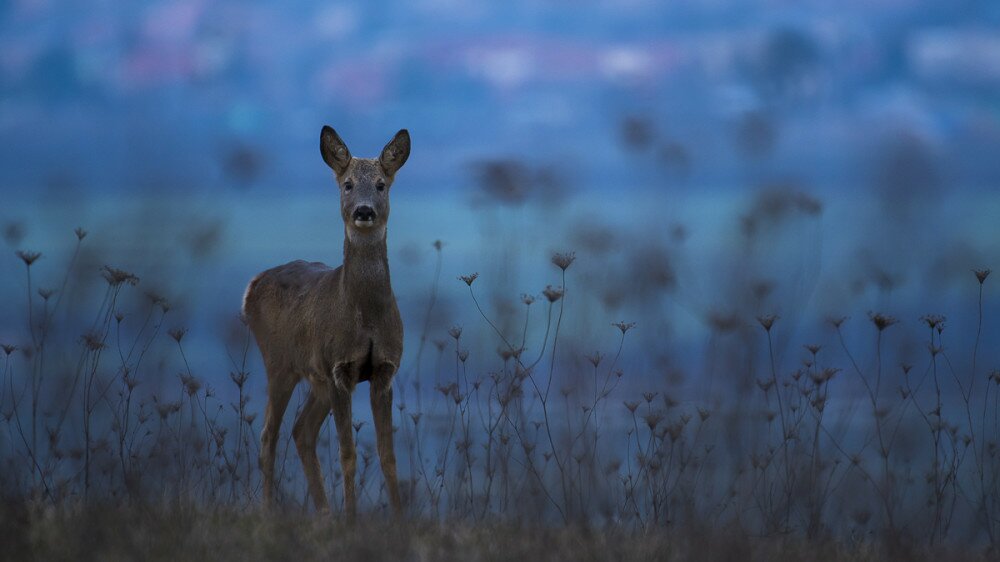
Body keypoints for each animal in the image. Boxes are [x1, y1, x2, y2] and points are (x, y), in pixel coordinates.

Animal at [242, 124, 410, 516]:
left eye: (381, 184)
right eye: (347, 183)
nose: (363, 210)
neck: (366, 318)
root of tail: (252, 286)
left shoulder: (385, 369)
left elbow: (388, 456)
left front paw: (399, 519)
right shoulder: (339, 367)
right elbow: (347, 453)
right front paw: (352, 519)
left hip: (313, 378)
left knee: (301, 431)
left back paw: (324, 514)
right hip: (279, 363)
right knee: (269, 435)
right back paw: (270, 512)